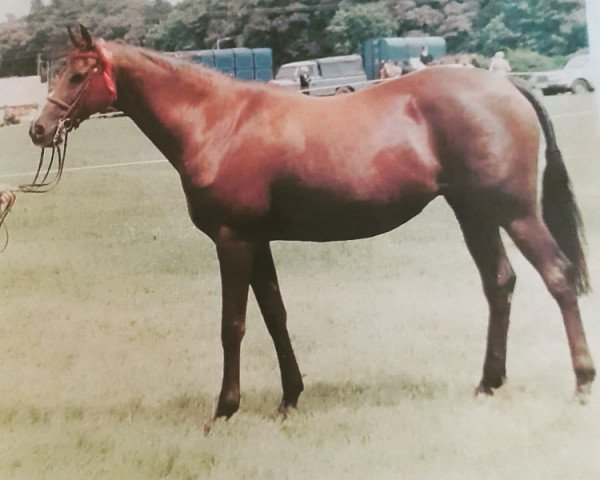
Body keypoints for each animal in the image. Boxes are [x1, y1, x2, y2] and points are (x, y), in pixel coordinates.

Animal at [29, 25, 596, 424]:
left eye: (77, 75)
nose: (38, 128)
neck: (218, 121)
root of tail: (505, 84)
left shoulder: (233, 241)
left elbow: (232, 325)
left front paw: (225, 408)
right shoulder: (257, 241)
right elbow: (275, 315)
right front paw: (289, 398)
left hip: (514, 212)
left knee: (558, 276)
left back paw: (581, 382)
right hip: (474, 212)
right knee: (499, 284)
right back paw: (488, 383)